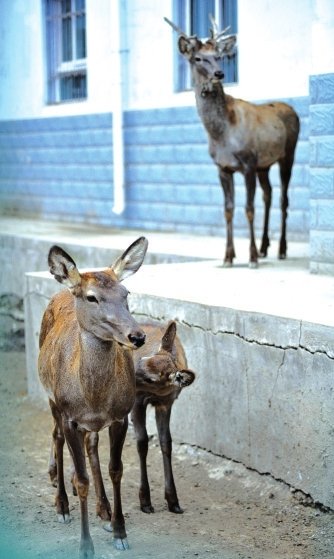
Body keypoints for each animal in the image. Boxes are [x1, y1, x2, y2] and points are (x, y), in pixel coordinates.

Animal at [37, 237, 147, 559]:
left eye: (126, 293)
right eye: (92, 297)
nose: (137, 336)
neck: (93, 396)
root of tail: (64, 287)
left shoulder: (120, 416)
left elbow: (116, 470)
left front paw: (120, 530)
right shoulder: (70, 415)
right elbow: (83, 479)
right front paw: (86, 545)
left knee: (91, 445)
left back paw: (104, 509)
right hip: (52, 399)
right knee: (56, 437)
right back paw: (62, 502)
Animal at [164, 17, 300, 270]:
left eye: (219, 55)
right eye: (198, 58)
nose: (219, 73)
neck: (222, 134)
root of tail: (291, 108)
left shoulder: (248, 162)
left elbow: (248, 209)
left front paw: (252, 258)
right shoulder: (223, 168)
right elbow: (228, 209)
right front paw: (228, 257)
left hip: (288, 153)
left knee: (283, 198)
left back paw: (281, 250)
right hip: (264, 165)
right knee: (268, 194)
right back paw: (266, 247)